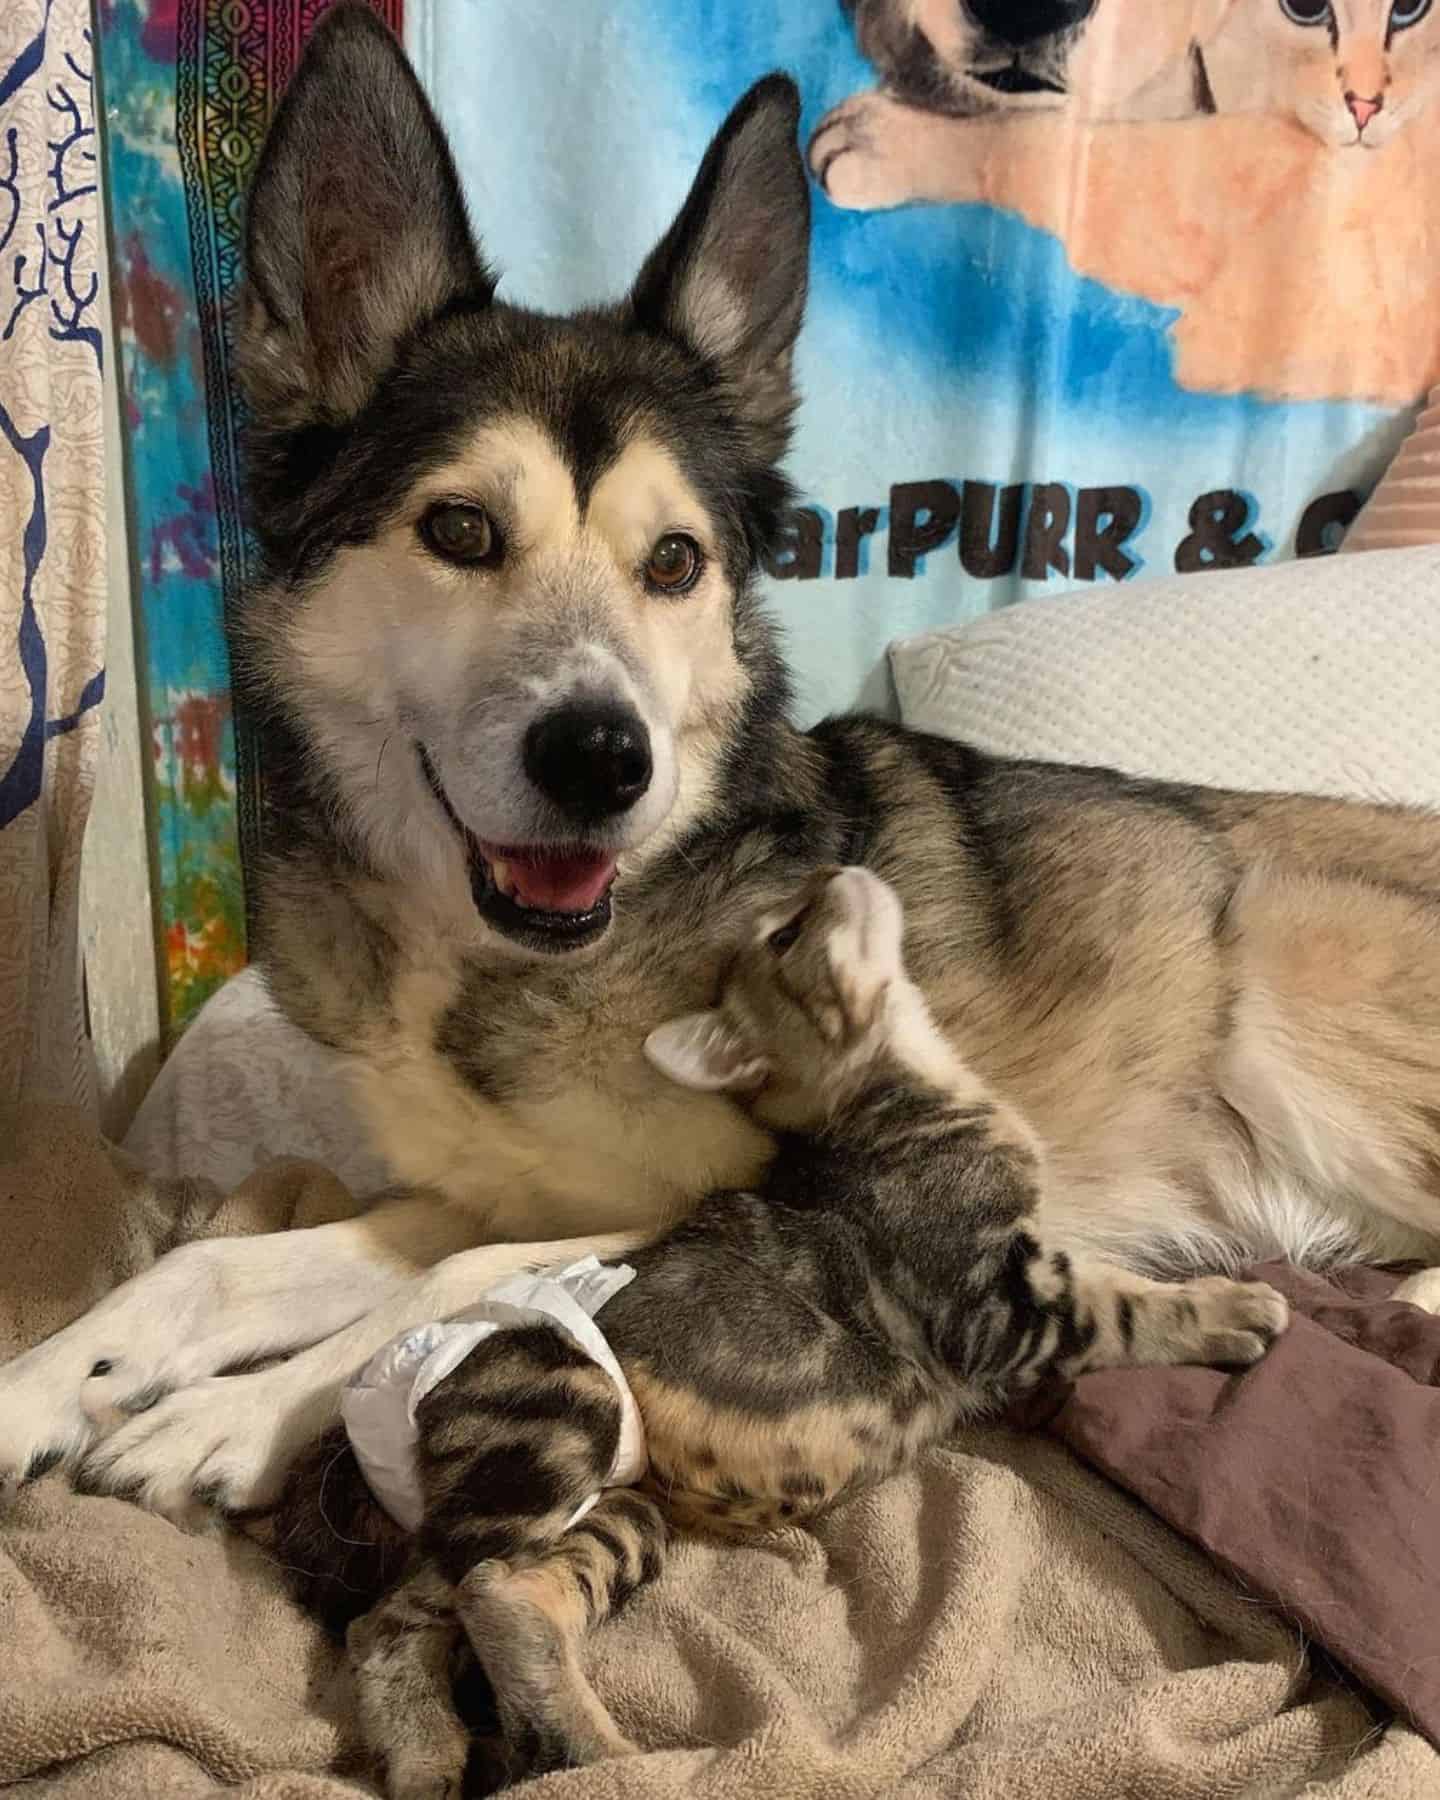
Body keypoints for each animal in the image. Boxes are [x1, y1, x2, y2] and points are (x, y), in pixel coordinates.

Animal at [2, 7, 1440, 1526]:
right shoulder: (495, 1186)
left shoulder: (715, 1201)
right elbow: (211, 1264)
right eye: (458, 530)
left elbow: (442, 1293)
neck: (511, 967)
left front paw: (224, 1415)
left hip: (1289, 995)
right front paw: (54, 1381)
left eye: (676, 562)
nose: (602, 762)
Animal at [275, 864, 1288, 1792]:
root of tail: (356, 1430)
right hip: (566, 1408)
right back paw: (613, 1763)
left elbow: (1108, 1280)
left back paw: (462, 1759)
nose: (838, 868)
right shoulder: (992, 1306)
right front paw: (1235, 1310)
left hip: (621, 1512)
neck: (905, 1087)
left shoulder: (1017, 1282)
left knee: (412, 1620)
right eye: (787, 935)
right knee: (478, 1593)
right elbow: (1125, 1307)